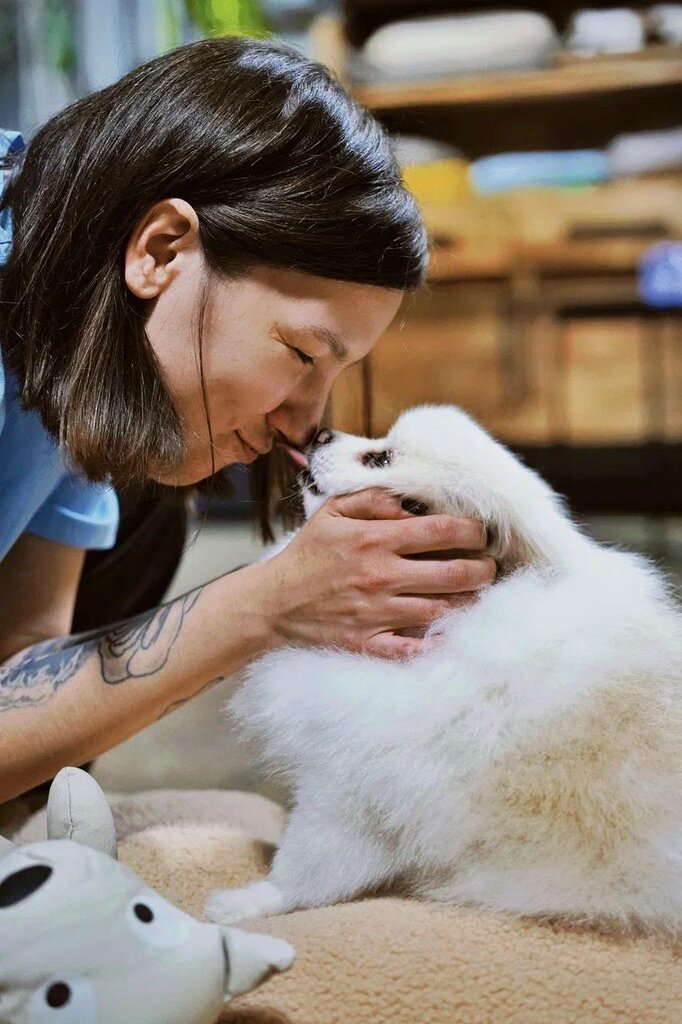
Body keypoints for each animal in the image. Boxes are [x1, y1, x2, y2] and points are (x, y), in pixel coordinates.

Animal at [206, 405, 682, 937]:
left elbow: (307, 870)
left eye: (380, 457)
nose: (323, 432)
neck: (436, 632)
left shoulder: (352, 793)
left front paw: (247, 903)